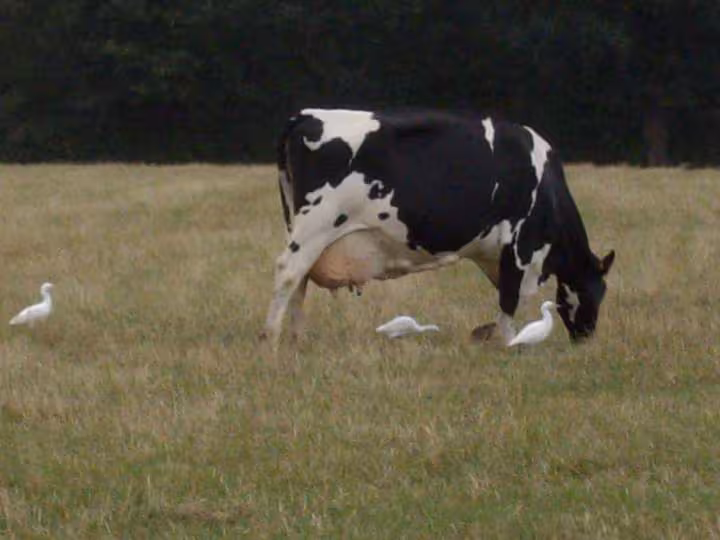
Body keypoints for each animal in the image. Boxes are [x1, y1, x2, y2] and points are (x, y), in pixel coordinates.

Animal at [262, 108, 614, 351]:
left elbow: (504, 297)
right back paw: (271, 339)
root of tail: (305, 116)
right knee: (288, 272)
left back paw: (296, 339)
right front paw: (510, 343)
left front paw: (485, 334)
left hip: (300, 227)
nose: (586, 337)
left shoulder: (496, 255)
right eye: (595, 291)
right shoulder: (519, 245)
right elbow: (509, 301)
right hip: (316, 223)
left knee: (300, 280)